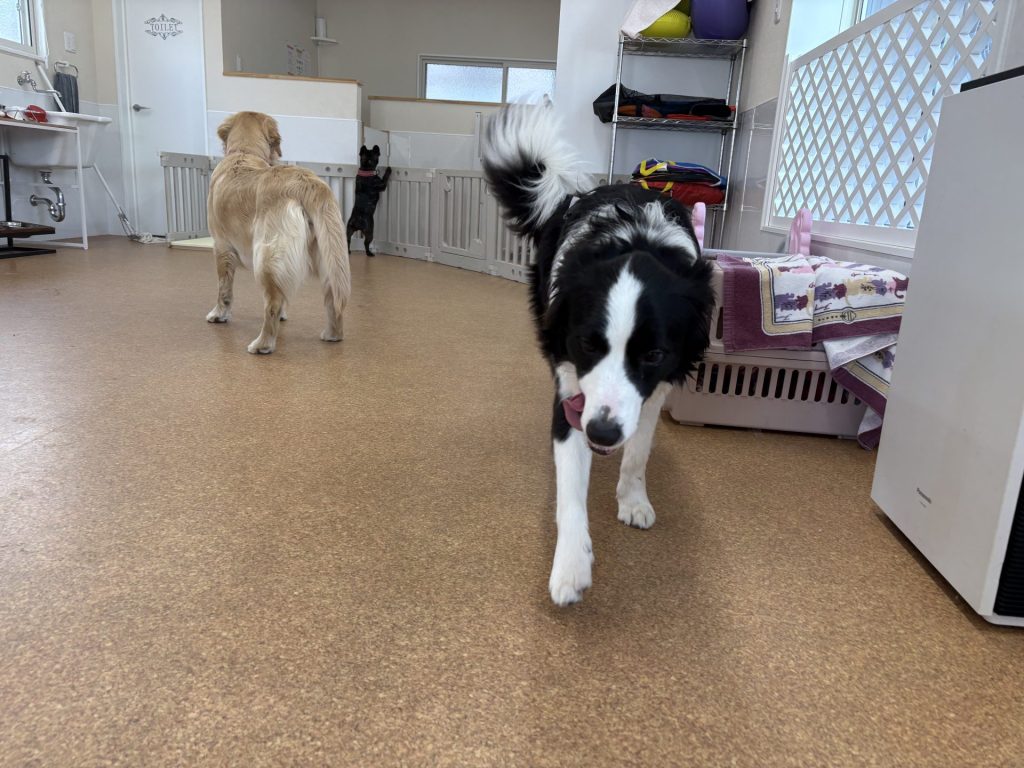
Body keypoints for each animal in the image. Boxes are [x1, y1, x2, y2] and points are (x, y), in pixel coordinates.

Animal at [206, 111, 351, 354]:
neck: (244, 153)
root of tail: (307, 182)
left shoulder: (221, 247)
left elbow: (223, 288)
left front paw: (219, 314)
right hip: (330, 256)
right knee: (334, 297)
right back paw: (333, 334)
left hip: (267, 257)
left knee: (271, 303)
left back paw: (262, 344)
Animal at [481, 103, 715, 606]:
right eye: (589, 344)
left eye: (654, 353)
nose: (603, 432)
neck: (636, 241)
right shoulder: (570, 386)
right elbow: (571, 489)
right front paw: (570, 563)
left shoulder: (653, 389)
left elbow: (638, 452)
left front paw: (633, 499)